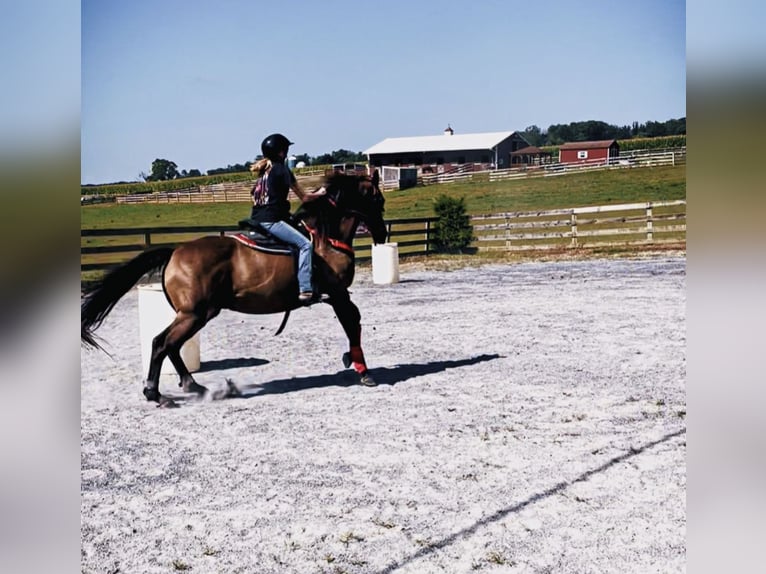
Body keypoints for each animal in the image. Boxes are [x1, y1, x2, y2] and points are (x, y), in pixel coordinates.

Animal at [82, 173, 390, 408]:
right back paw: (155, 393)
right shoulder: (338, 294)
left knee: (171, 346)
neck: (325, 239)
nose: (381, 234)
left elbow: (353, 323)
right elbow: (352, 323)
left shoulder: (337, 296)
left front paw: (354, 362)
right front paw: (363, 371)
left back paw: (193, 386)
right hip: (194, 314)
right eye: (378, 199)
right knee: (161, 343)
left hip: (195, 315)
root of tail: (175, 252)